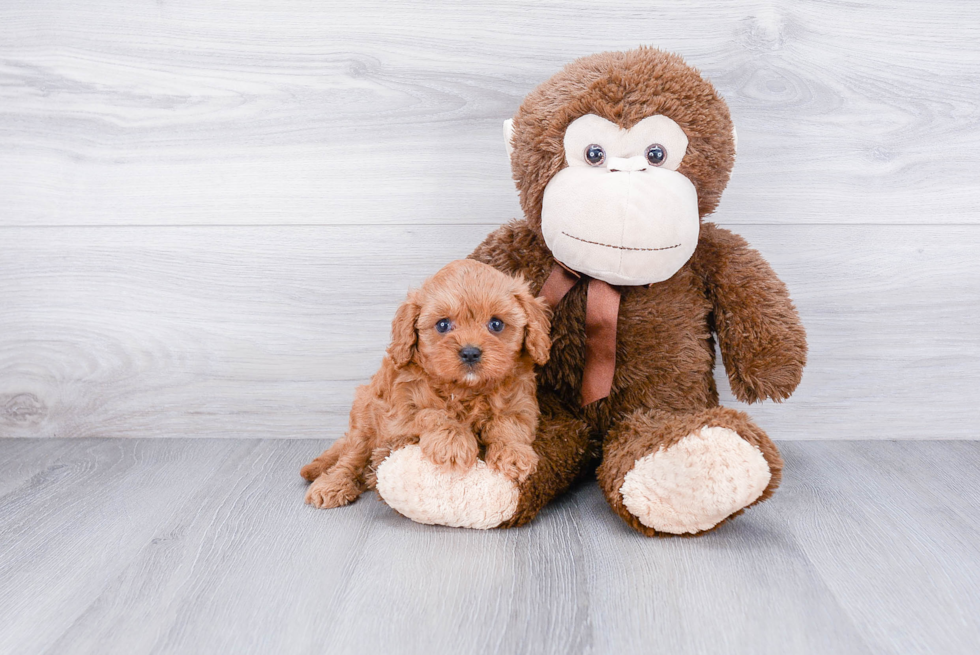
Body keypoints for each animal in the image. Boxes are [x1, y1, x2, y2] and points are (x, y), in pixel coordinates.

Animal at [298, 258, 552, 510]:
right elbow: (431, 414)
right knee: (351, 457)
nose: (470, 352)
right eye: (442, 325)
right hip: (364, 418)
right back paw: (333, 484)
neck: (465, 389)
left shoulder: (521, 405)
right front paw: (454, 443)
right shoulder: (400, 413)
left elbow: (508, 425)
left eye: (496, 324)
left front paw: (514, 454)